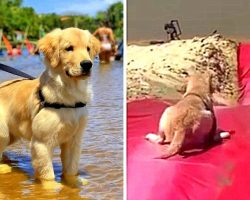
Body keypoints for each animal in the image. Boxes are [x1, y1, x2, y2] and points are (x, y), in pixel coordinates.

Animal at [0, 27, 100, 188]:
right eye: (69, 48)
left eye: (88, 48)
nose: (87, 64)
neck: (69, 95)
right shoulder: (41, 142)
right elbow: (47, 173)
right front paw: (52, 188)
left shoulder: (74, 140)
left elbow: (71, 169)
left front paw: (74, 183)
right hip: (2, 132)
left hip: (12, 133)